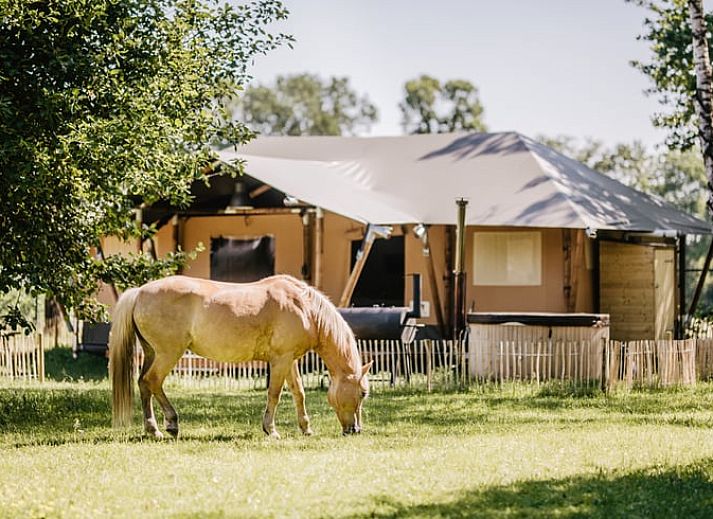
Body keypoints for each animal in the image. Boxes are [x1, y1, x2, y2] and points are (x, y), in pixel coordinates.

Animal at [110, 276, 372, 438]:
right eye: (363, 393)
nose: (356, 430)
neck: (304, 307)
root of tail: (140, 292)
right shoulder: (281, 361)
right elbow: (275, 394)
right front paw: (271, 430)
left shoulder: (290, 361)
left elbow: (299, 393)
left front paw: (306, 429)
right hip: (168, 354)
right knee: (152, 382)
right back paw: (168, 425)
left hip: (152, 353)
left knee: (144, 385)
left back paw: (153, 428)